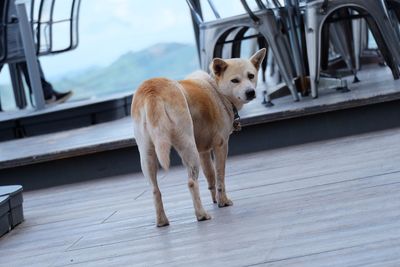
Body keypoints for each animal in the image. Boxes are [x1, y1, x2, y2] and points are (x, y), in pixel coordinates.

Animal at [131, 48, 268, 226]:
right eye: (235, 80)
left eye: (251, 76)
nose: (250, 92)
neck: (217, 89)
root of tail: (153, 89)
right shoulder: (221, 146)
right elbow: (220, 177)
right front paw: (223, 201)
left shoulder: (203, 151)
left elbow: (210, 176)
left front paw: (215, 200)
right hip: (188, 149)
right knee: (191, 182)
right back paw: (201, 215)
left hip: (147, 155)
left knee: (155, 190)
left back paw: (162, 221)